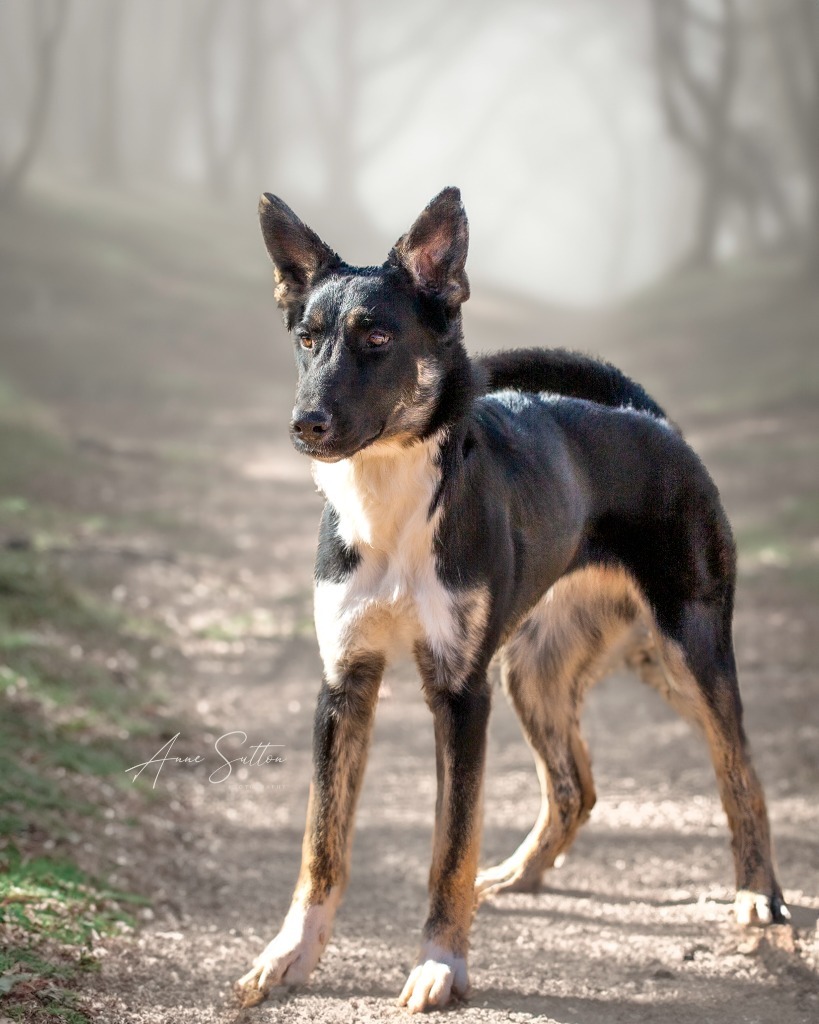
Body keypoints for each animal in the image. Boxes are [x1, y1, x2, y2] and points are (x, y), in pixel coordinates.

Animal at [235, 188, 786, 1011]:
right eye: (306, 338)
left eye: (377, 336)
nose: (306, 425)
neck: (391, 500)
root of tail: (647, 416)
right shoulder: (344, 685)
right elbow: (321, 844)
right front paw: (288, 955)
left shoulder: (460, 695)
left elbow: (449, 847)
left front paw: (441, 965)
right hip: (536, 671)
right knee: (574, 789)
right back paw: (520, 876)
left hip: (688, 653)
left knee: (740, 772)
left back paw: (758, 896)